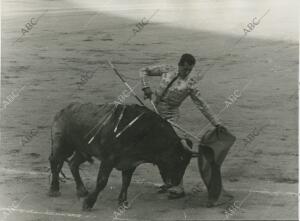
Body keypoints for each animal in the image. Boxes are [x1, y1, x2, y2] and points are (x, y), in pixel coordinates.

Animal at [47, 102, 197, 209]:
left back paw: (82, 191)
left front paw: (123, 202)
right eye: (177, 158)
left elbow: (126, 182)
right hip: (63, 145)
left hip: (83, 150)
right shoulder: (108, 159)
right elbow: (102, 181)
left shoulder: (130, 163)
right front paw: (88, 203)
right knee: (54, 161)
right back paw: (54, 190)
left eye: (186, 163)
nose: (175, 182)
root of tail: (63, 110)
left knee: (73, 163)